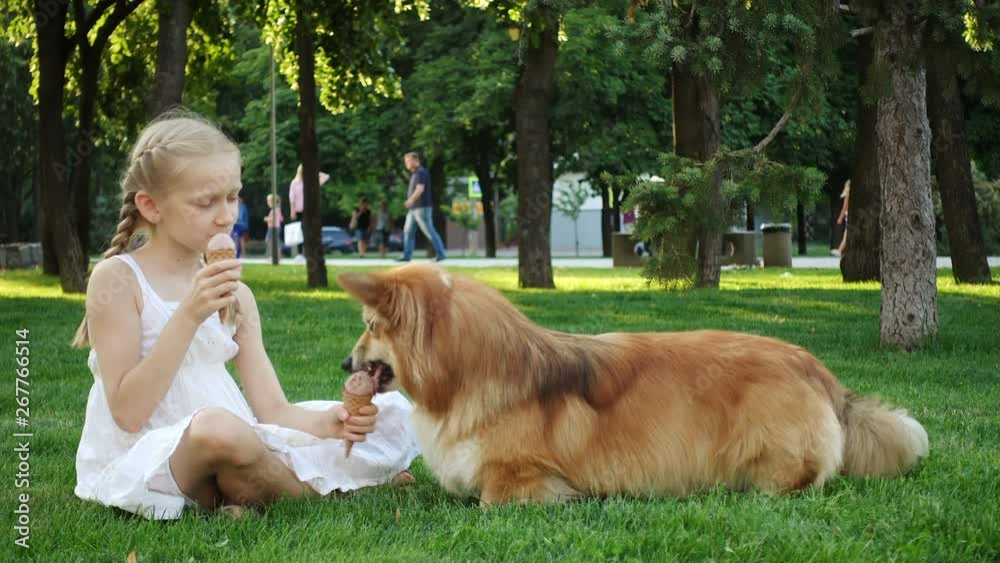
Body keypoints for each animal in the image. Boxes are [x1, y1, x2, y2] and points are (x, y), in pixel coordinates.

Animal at [338, 264, 929, 504]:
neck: (473, 373)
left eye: (369, 327)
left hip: (770, 456)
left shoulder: (519, 477)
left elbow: (491, 499)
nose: (346, 364)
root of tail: (817, 370)